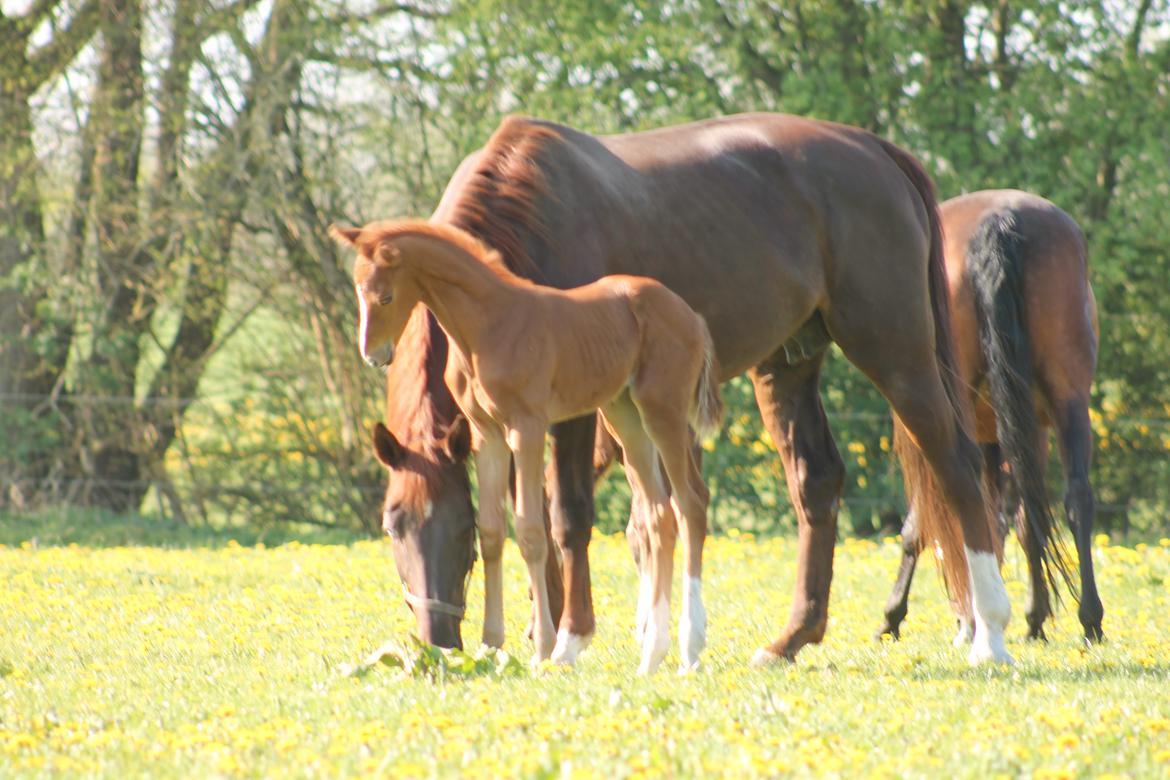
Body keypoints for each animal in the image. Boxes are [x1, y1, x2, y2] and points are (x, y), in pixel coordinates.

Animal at [332, 218, 720, 673]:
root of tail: (692, 316)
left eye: (386, 296)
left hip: (663, 411)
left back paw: (689, 650)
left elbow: (533, 532)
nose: (373, 354)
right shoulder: (487, 434)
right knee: (660, 514)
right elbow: (493, 531)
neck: (489, 325)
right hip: (624, 414)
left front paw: (546, 649)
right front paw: (491, 644)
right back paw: (651, 656)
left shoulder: (528, 427)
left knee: (690, 503)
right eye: (357, 290)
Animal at [879, 189, 1104, 640]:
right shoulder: (1028, 430)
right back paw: (1090, 619)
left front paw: (897, 614)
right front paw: (1033, 616)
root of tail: (1002, 218)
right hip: (1068, 398)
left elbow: (925, 522)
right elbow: (1026, 518)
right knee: (1077, 497)